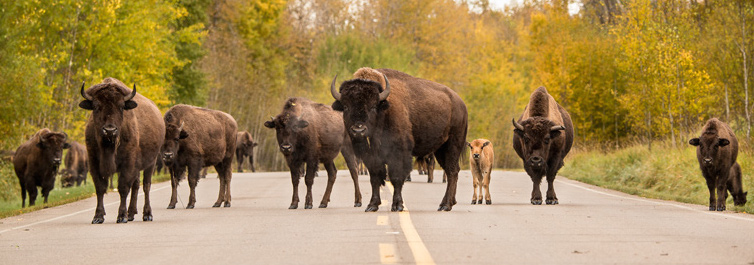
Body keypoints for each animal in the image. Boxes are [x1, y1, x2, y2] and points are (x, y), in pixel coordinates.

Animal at [78, 78, 163, 223]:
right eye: (96, 106)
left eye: (121, 106)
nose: (110, 130)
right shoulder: (94, 162)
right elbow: (100, 188)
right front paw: (98, 217)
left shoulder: (127, 163)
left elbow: (123, 188)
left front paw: (122, 216)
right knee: (136, 185)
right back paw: (131, 213)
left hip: (151, 163)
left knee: (146, 185)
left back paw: (147, 214)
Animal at [328, 67, 464, 211]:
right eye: (346, 107)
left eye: (373, 107)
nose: (358, 130)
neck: (383, 110)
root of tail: (460, 103)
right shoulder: (371, 157)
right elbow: (375, 178)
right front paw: (372, 205)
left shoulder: (399, 153)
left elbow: (396, 177)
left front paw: (397, 205)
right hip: (440, 150)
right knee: (451, 171)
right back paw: (448, 203)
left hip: (452, 146)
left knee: (452, 171)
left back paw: (446, 205)